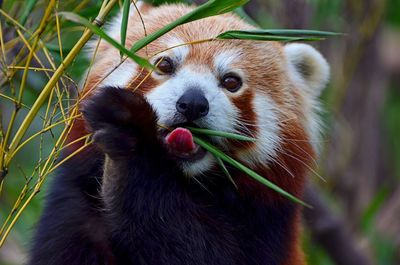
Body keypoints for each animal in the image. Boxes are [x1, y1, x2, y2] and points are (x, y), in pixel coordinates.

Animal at [28, 2, 328, 264]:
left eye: (231, 82)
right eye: (164, 65)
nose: (193, 103)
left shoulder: (264, 223)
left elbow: (197, 247)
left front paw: (131, 136)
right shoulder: (75, 203)